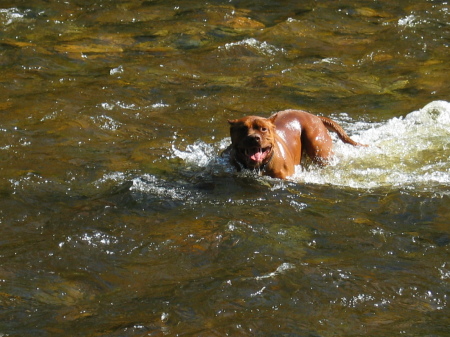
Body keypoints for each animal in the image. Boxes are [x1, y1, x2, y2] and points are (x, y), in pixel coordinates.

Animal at [225, 109, 366, 178]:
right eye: (242, 129)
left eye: (263, 129)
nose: (254, 138)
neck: (258, 167)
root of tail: (316, 117)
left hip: (318, 148)